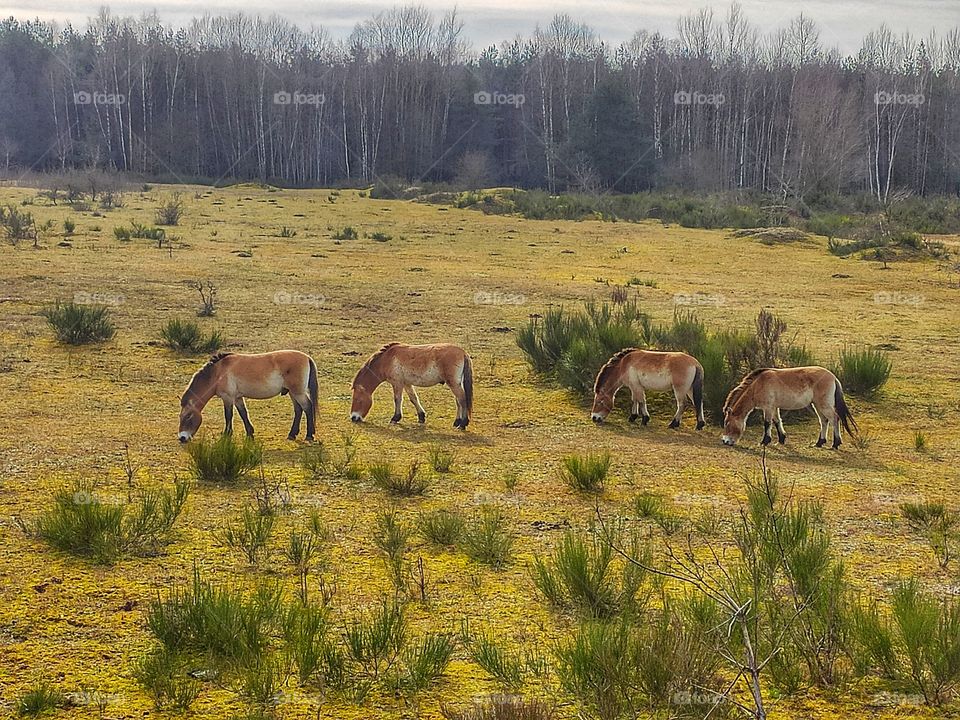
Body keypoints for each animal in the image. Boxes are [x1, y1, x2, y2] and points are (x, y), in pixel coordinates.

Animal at [178, 351, 318, 443]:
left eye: (188, 417)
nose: (182, 438)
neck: (218, 373)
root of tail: (307, 357)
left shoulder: (228, 398)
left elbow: (228, 416)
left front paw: (226, 435)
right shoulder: (237, 398)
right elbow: (243, 413)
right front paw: (250, 434)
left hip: (298, 393)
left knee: (307, 407)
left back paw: (309, 436)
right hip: (292, 393)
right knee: (298, 410)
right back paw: (292, 435)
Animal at [721, 366, 857, 448]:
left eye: (727, 423)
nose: (725, 441)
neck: (758, 384)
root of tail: (833, 377)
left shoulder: (768, 408)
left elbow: (767, 423)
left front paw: (764, 441)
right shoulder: (774, 407)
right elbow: (777, 422)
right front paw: (781, 439)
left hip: (824, 405)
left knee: (834, 419)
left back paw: (835, 444)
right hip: (817, 405)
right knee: (824, 421)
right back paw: (819, 443)